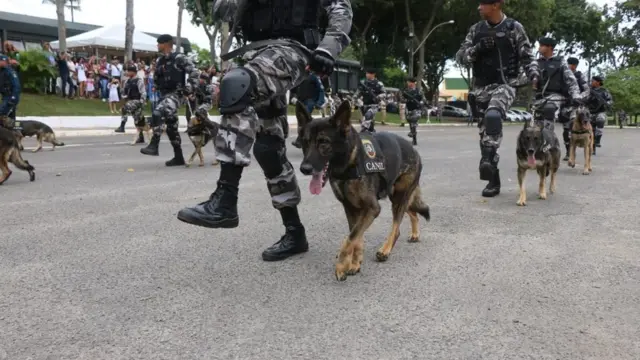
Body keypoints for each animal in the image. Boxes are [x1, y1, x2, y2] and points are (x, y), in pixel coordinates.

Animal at [296, 100, 430, 282]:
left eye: (323, 142)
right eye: (305, 142)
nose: (304, 169)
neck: (350, 162)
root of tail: (414, 149)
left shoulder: (372, 208)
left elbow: (350, 237)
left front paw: (341, 266)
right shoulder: (352, 208)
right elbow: (356, 237)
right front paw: (354, 263)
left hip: (399, 198)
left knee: (396, 227)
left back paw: (385, 250)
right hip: (396, 196)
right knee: (413, 213)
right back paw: (415, 234)